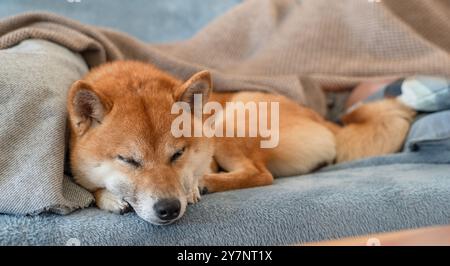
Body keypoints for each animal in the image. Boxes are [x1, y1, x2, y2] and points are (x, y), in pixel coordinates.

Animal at [67, 60, 414, 224]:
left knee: (261, 174)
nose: (169, 209)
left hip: (230, 119)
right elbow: (91, 186)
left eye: (178, 154)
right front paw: (109, 198)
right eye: (128, 160)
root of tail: (323, 120)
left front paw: (193, 185)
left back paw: (207, 182)